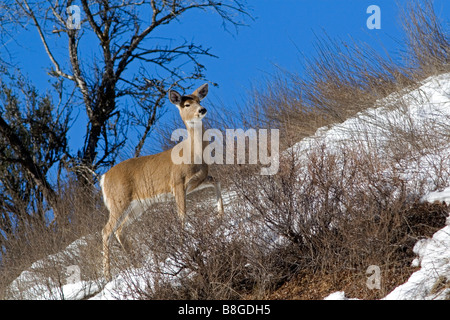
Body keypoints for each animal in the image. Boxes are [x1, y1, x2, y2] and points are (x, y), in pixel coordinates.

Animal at [100, 83, 223, 280]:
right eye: (186, 105)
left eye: (199, 100)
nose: (202, 110)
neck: (193, 153)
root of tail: (103, 179)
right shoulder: (177, 183)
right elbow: (182, 214)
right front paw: (182, 243)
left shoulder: (198, 180)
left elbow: (217, 181)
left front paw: (220, 216)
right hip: (118, 201)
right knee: (106, 231)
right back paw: (107, 275)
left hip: (138, 205)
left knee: (119, 230)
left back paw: (136, 263)